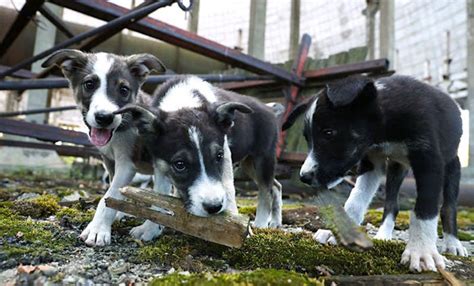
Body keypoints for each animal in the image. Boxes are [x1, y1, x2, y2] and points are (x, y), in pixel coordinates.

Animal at [41, 49, 169, 246]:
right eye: (89, 84)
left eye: (124, 90)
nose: (104, 117)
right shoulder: (110, 162)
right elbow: (114, 193)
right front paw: (117, 214)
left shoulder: (126, 164)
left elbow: (108, 197)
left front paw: (97, 230)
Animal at [116, 75, 284, 227]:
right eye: (180, 164)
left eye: (218, 156)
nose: (214, 207)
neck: (183, 101)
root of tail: (269, 108)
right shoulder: (160, 162)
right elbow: (160, 192)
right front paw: (149, 229)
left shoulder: (226, 153)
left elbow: (229, 188)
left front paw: (234, 221)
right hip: (248, 164)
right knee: (276, 186)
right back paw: (275, 222)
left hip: (263, 158)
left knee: (265, 191)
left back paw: (261, 224)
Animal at [284, 75, 468, 272]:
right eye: (307, 138)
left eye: (329, 132)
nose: (304, 177)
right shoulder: (372, 161)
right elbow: (356, 200)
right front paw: (343, 231)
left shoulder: (429, 161)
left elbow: (425, 209)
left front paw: (421, 251)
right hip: (396, 167)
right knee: (391, 204)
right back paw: (383, 235)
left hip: (452, 165)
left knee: (448, 207)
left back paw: (453, 243)